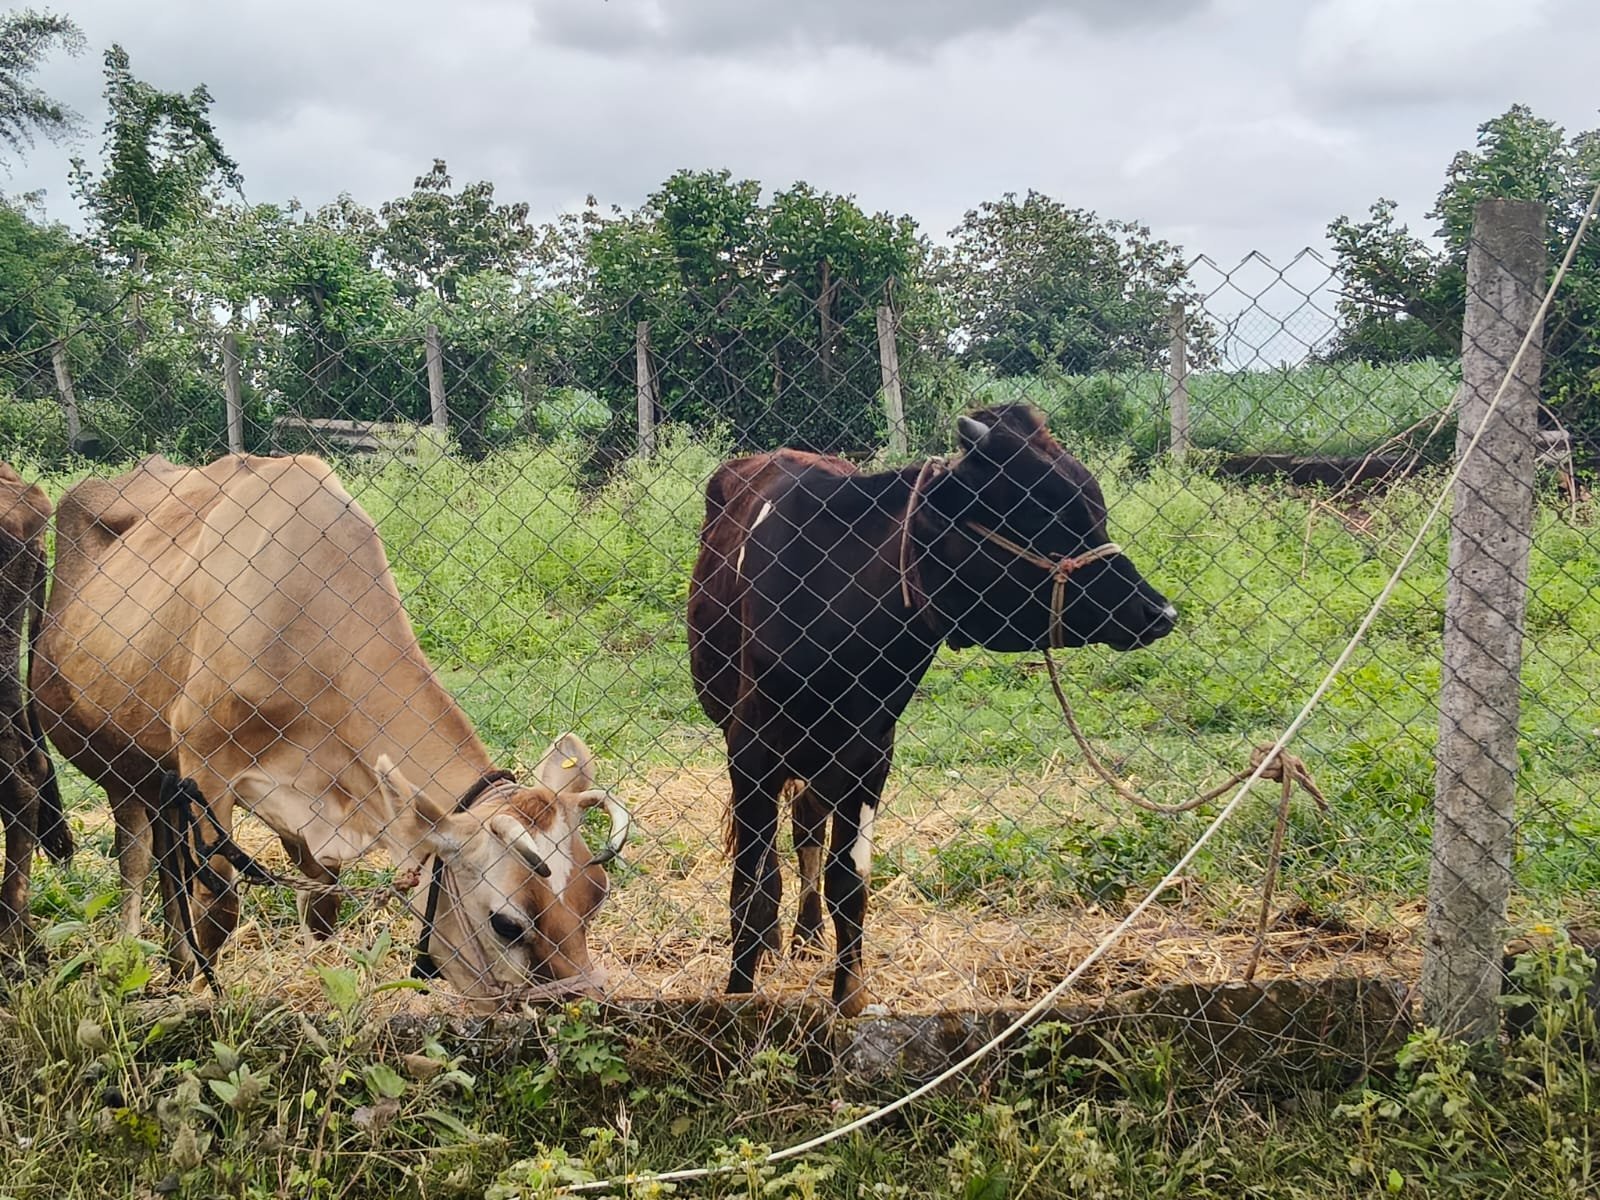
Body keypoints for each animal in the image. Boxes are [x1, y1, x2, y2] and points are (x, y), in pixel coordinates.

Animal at [32, 453, 629, 1000]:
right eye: (506, 922)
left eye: (596, 893)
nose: (586, 1005)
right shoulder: (205, 766)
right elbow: (219, 904)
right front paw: (207, 995)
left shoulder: (310, 800)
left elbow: (321, 906)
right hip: (116, 761)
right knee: (136, 858)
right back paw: (136, 963)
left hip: (160, 777)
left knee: (166, 856)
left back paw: (175, 966)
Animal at [687, 404, 1177, 1015]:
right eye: (1044, 511)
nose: (1160, 611)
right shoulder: (750, 751)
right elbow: (748, 888)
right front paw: (737, 997)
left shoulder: (869, 754)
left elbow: (849, 881)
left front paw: (847, 1000)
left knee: (805, 831)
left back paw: (805, 935)